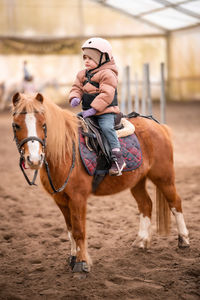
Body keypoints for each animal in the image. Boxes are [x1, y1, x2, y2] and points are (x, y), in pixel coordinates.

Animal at [11, 93, 190, 274]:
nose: (34, 160)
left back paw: (184, 240)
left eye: (44, 124)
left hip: (164, 177)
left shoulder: (78, 199)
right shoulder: (61, 200)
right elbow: (70, 230)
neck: (65, 151)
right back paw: (141, 241)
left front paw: (81, 264)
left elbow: (79, 230)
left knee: (175, 203)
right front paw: (72, 258)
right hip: (138, 181)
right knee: (146, 204)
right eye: (16, 125)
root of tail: (159, 127)